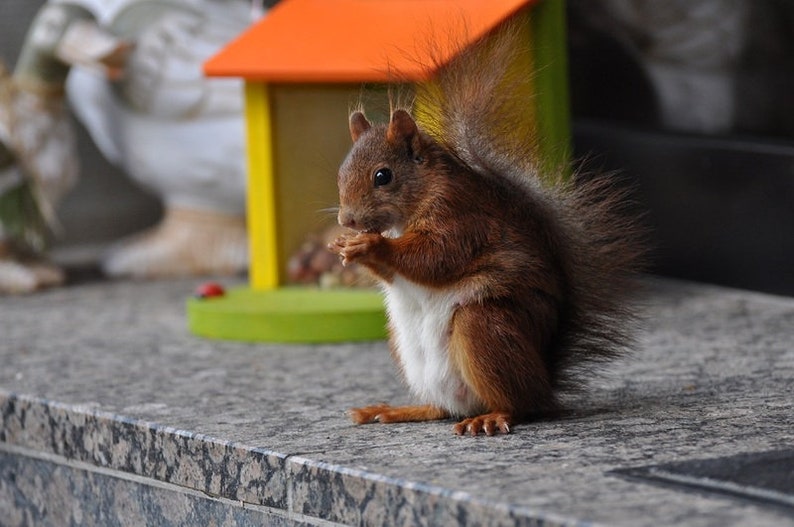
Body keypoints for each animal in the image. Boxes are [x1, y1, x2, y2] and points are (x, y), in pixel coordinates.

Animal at [328, 24, 644, 438]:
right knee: (442, 408)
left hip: (482, 329)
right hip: (406, 349)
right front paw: (346, 246)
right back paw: (395, 410)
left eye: (383, 176)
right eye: (341, 172)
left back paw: (494, 416)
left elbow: (436, 257)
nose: (347, 220)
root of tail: (545, 382)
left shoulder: (462, 218)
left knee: (519, 404)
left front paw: (370, 245)